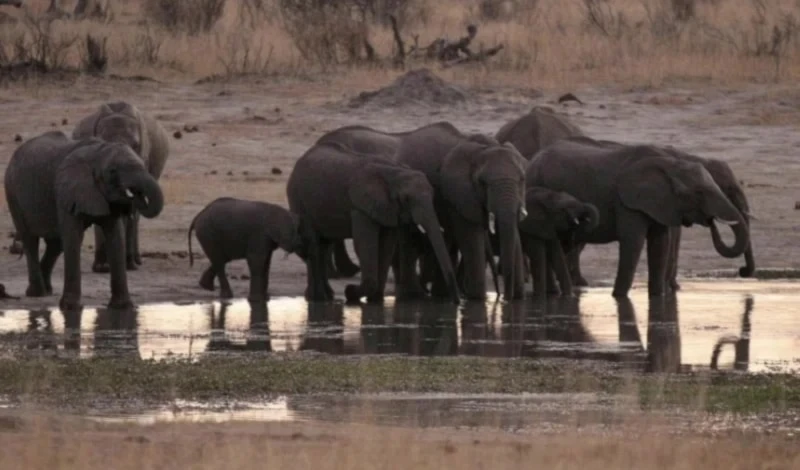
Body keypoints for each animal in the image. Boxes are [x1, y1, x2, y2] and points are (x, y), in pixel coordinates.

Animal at [4, 131, 164, 311]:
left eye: (144, 166)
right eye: (112, 171)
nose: (136, 197)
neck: (99, 152)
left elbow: (115, 237)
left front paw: (123, 307)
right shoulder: (66, 190)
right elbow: (73, 237)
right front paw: (70, 308)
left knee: (56, 244)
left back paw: (47, 290)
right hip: (12, 192)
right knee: (30, 240)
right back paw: (37, 293)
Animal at [286, 141, 460, 304]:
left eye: (433, 195)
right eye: (406, 199)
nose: (456, 302)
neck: (395, 171)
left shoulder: (389, 207)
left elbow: (386, 246)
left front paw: (375, 300)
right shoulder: (360, 206)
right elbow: (365, 244)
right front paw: (351, 293)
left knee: (324, 245)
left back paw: (325, 297)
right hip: (298, 199)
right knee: (314, 244)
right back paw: (317, 299)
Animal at [315, 122, 528, 301]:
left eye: (522, 179)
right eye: (483, 182)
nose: (504, 297)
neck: (477, 145)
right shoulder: (456, 190)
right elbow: (469, 236)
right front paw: (477, 298)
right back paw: (414, 296)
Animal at [527, 136, 749, 298]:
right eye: (700, 193)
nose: (743, 271)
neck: (671, 164)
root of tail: (533, 159)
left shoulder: (661, 203)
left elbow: (660, 244)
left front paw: (658, 297)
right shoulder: (628, 203)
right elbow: (633, 242)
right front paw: (618, 297)